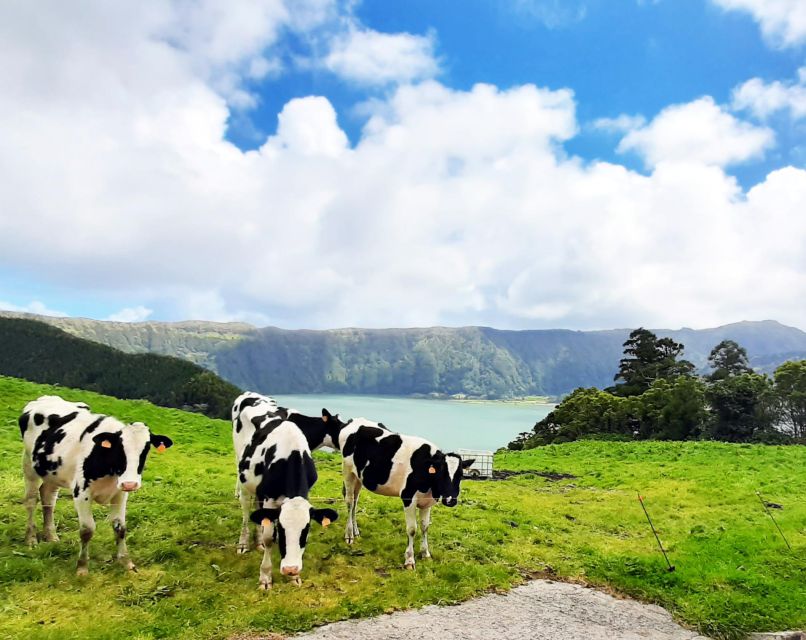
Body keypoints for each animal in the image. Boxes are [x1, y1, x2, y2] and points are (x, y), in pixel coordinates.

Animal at [20, 396, 174, 576]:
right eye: (119, 448)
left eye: (147, 447)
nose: (130, 483)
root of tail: (45, 398)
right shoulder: (81, 493)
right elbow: (87, 530)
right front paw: (82, 568)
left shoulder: (120, 493)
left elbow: (120, 527)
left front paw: (126, 562)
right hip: (29, 464)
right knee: (31, 500)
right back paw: (31, 539)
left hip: (53, 473)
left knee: (48, 498)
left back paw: (51, 536)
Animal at [234, 410, 338, 592]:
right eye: (281, 530)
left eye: (306, 529)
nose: (290, 569)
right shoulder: (269, 498)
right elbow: (269, 537)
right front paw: (265, 577)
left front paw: (295, 577)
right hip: (243, 479)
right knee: (246, 512)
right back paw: (243, 544)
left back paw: (258, 543)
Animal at [340, 420, 474, 568]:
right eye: (441, 473)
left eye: (461, 475)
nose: (450, 500)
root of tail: (355, 421)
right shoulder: (408, 497)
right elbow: (412, 529)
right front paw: (409, 560)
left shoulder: (427, 503)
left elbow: (425, 527)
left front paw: (425, 554)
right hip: (348, 471)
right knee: (349, 501)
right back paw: (349, 535)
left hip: (359, 477)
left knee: (355, 502)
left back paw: (356, 532)